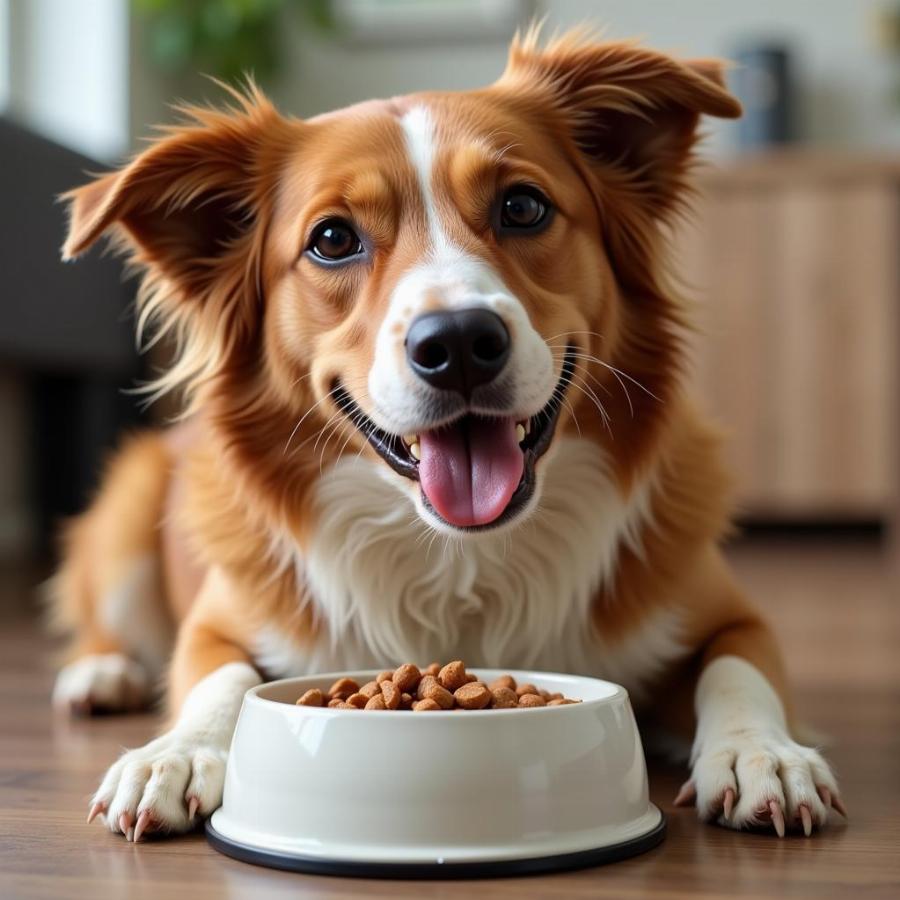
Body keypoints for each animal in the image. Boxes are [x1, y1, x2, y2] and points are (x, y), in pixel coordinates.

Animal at [51, 29, 844, 844]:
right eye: (332, 239)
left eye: (522, 206)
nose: (459, 342)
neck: (463, 559)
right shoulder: (217, 621)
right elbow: (217, 675)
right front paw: (175, 752)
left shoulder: (730, 613)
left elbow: (738, 668)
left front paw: (760, 752)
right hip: (128, 514)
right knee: (103, 622)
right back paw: (100, 674)